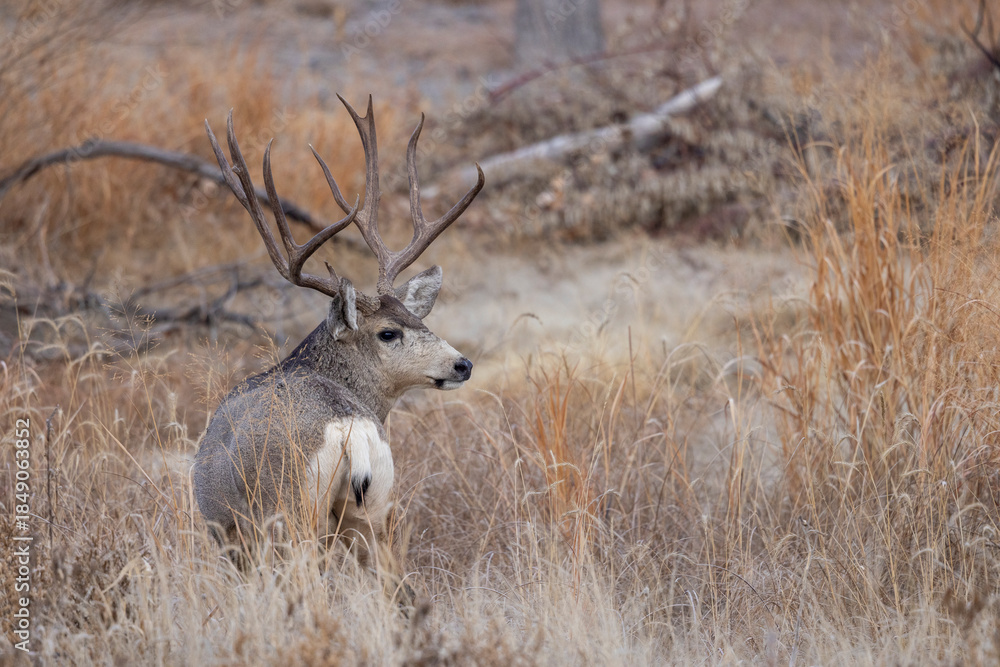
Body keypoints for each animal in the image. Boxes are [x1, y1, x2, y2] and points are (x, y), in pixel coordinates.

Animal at [193, 96, 484, 582]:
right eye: (391, 330)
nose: (462, 364)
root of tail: (350, 430)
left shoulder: (227, 532)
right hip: (375, 509)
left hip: (291, 511)